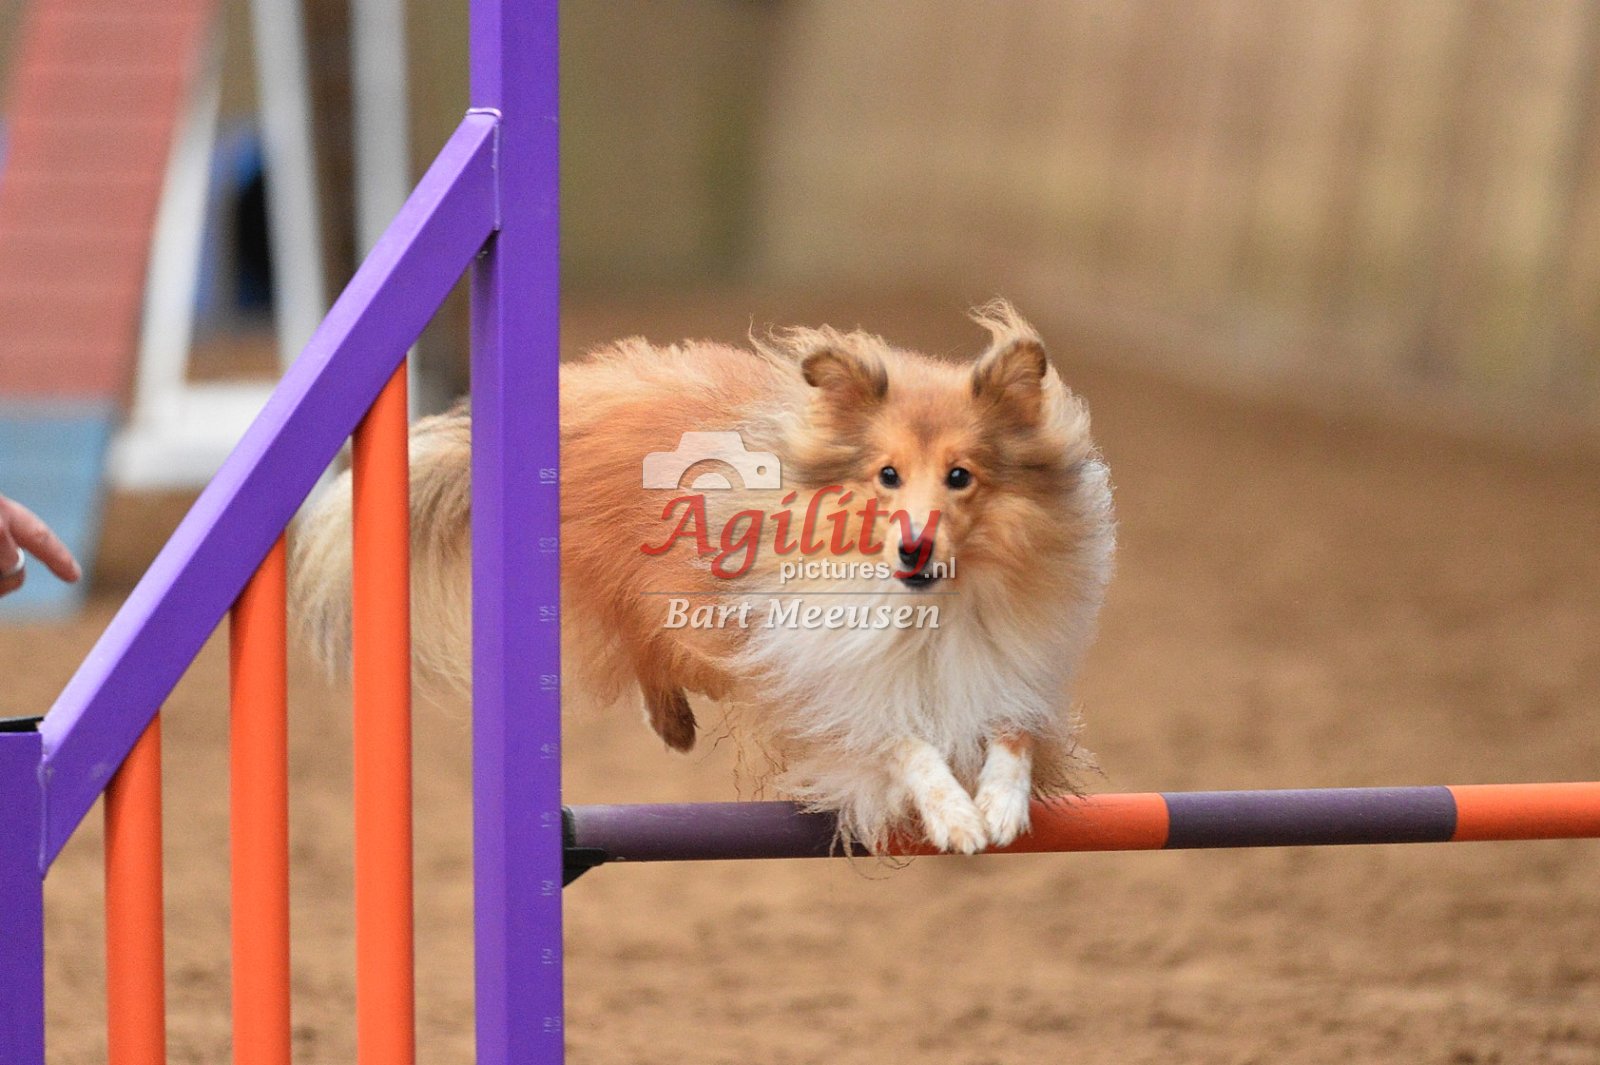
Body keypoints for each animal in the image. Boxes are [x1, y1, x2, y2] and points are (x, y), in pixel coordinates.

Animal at [293, 302, 1114, 854]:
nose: (914, 551)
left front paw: (1000, 806)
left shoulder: (1006, 664)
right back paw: (674, 724)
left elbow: (1014, 733)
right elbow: (902, 743)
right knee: (639, 646)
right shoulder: (827, 690)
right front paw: (954, 815)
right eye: (886, 475)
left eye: (960, 475)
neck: (927, 610)